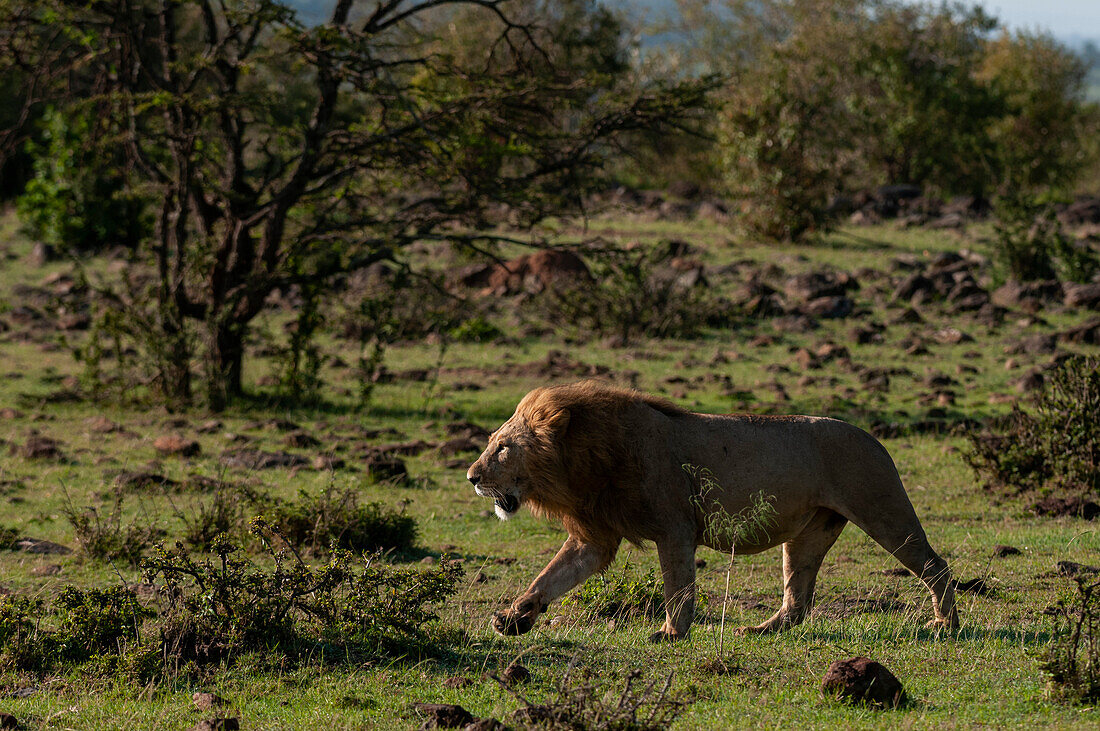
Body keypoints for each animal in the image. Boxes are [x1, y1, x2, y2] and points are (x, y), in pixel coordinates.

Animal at [468, 378, 959, 641]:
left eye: (503, 448)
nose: (472, 477)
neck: (585, 459)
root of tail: (874, 438)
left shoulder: (675, 527)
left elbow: (678, 586)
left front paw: (671, 634)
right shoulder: (595, 536)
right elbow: (549, 577)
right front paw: (512, 619)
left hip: (882, 508)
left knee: (935, 565)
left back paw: (944, 625)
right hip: (812, 532)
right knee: (798, 597)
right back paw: (761, 629)